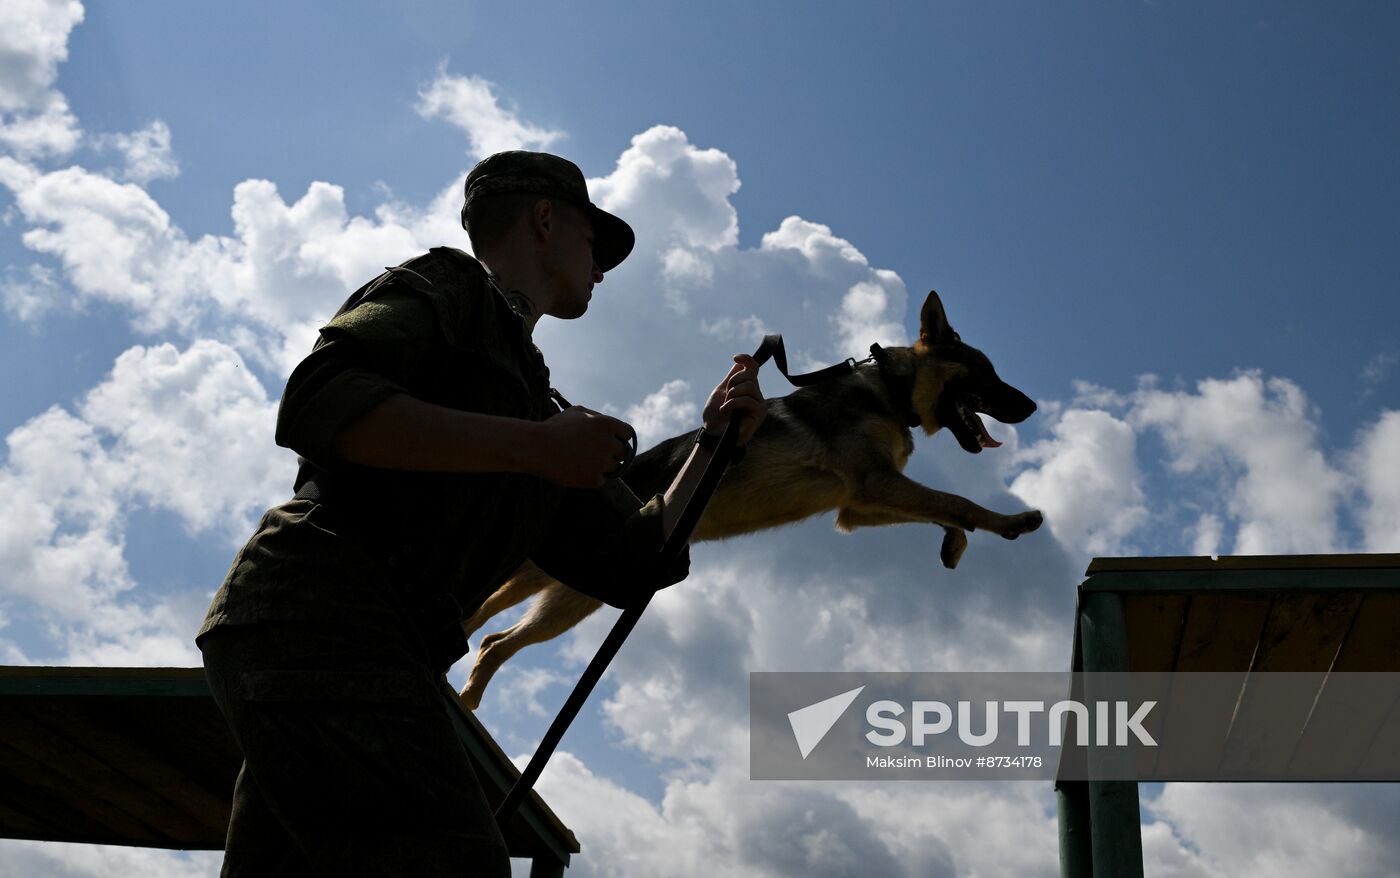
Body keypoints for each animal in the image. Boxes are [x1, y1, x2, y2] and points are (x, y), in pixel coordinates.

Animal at [459, 292, 1041, 711]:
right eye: (985, 372)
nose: (1033, 406)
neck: (892, 391)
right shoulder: (875, 483)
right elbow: (957, 499)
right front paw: (1013, 520)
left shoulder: (858, 503)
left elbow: (943, 510)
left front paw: (956, 545)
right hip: (553, 582)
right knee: (488, 625)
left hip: (571, 588)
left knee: (492, 634)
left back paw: (466, 695)